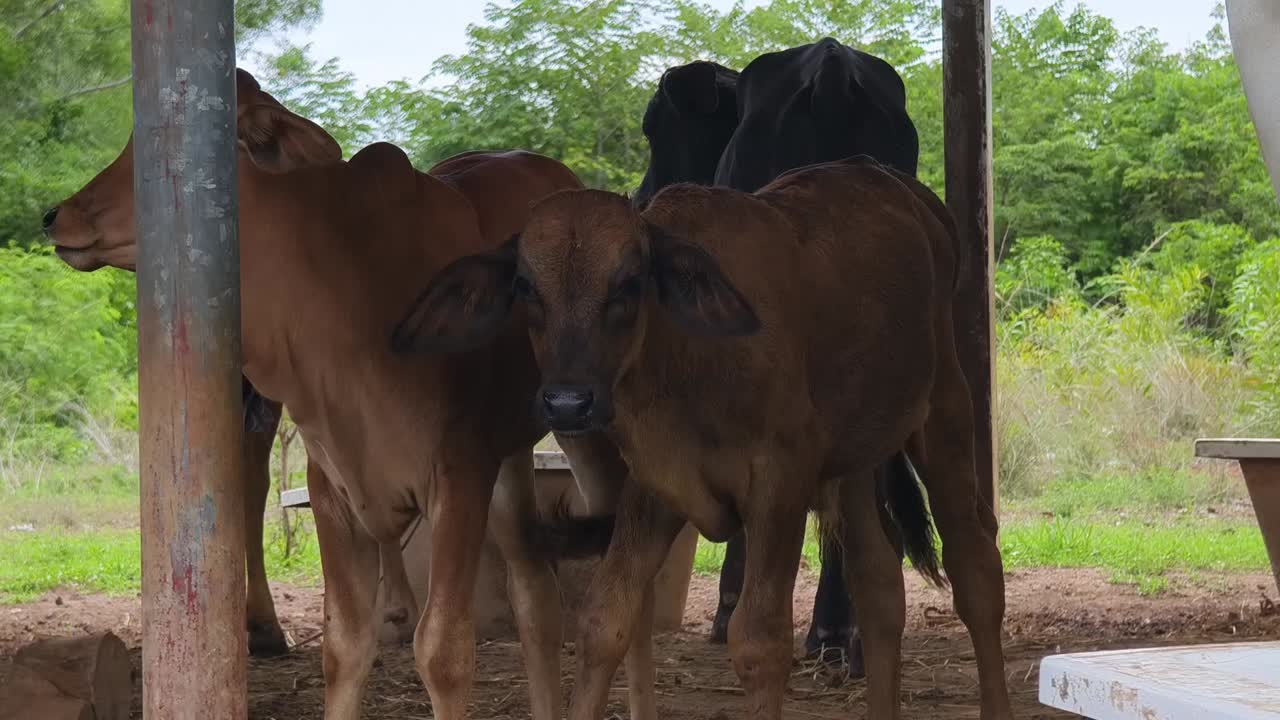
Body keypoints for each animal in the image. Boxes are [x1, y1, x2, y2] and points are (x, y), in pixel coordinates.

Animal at [42, 68, 639, 720]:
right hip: (508, 462)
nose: (55, 215)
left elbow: (443, 652)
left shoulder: (456, 479)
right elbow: (345, 647)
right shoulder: (334, 489)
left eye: (162, 144)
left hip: (585, 436)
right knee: (535, 590)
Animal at [394, 157, 1012, 720]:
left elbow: (760, 642)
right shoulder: (654, 486)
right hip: (855, 463)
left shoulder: (779, 486)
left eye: (630, 282)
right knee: (881, 586)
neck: (685, 356)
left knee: (977, 570)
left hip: (945, 414)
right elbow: (603, 621)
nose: (567, 401)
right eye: (526, 285)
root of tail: (900, 186)